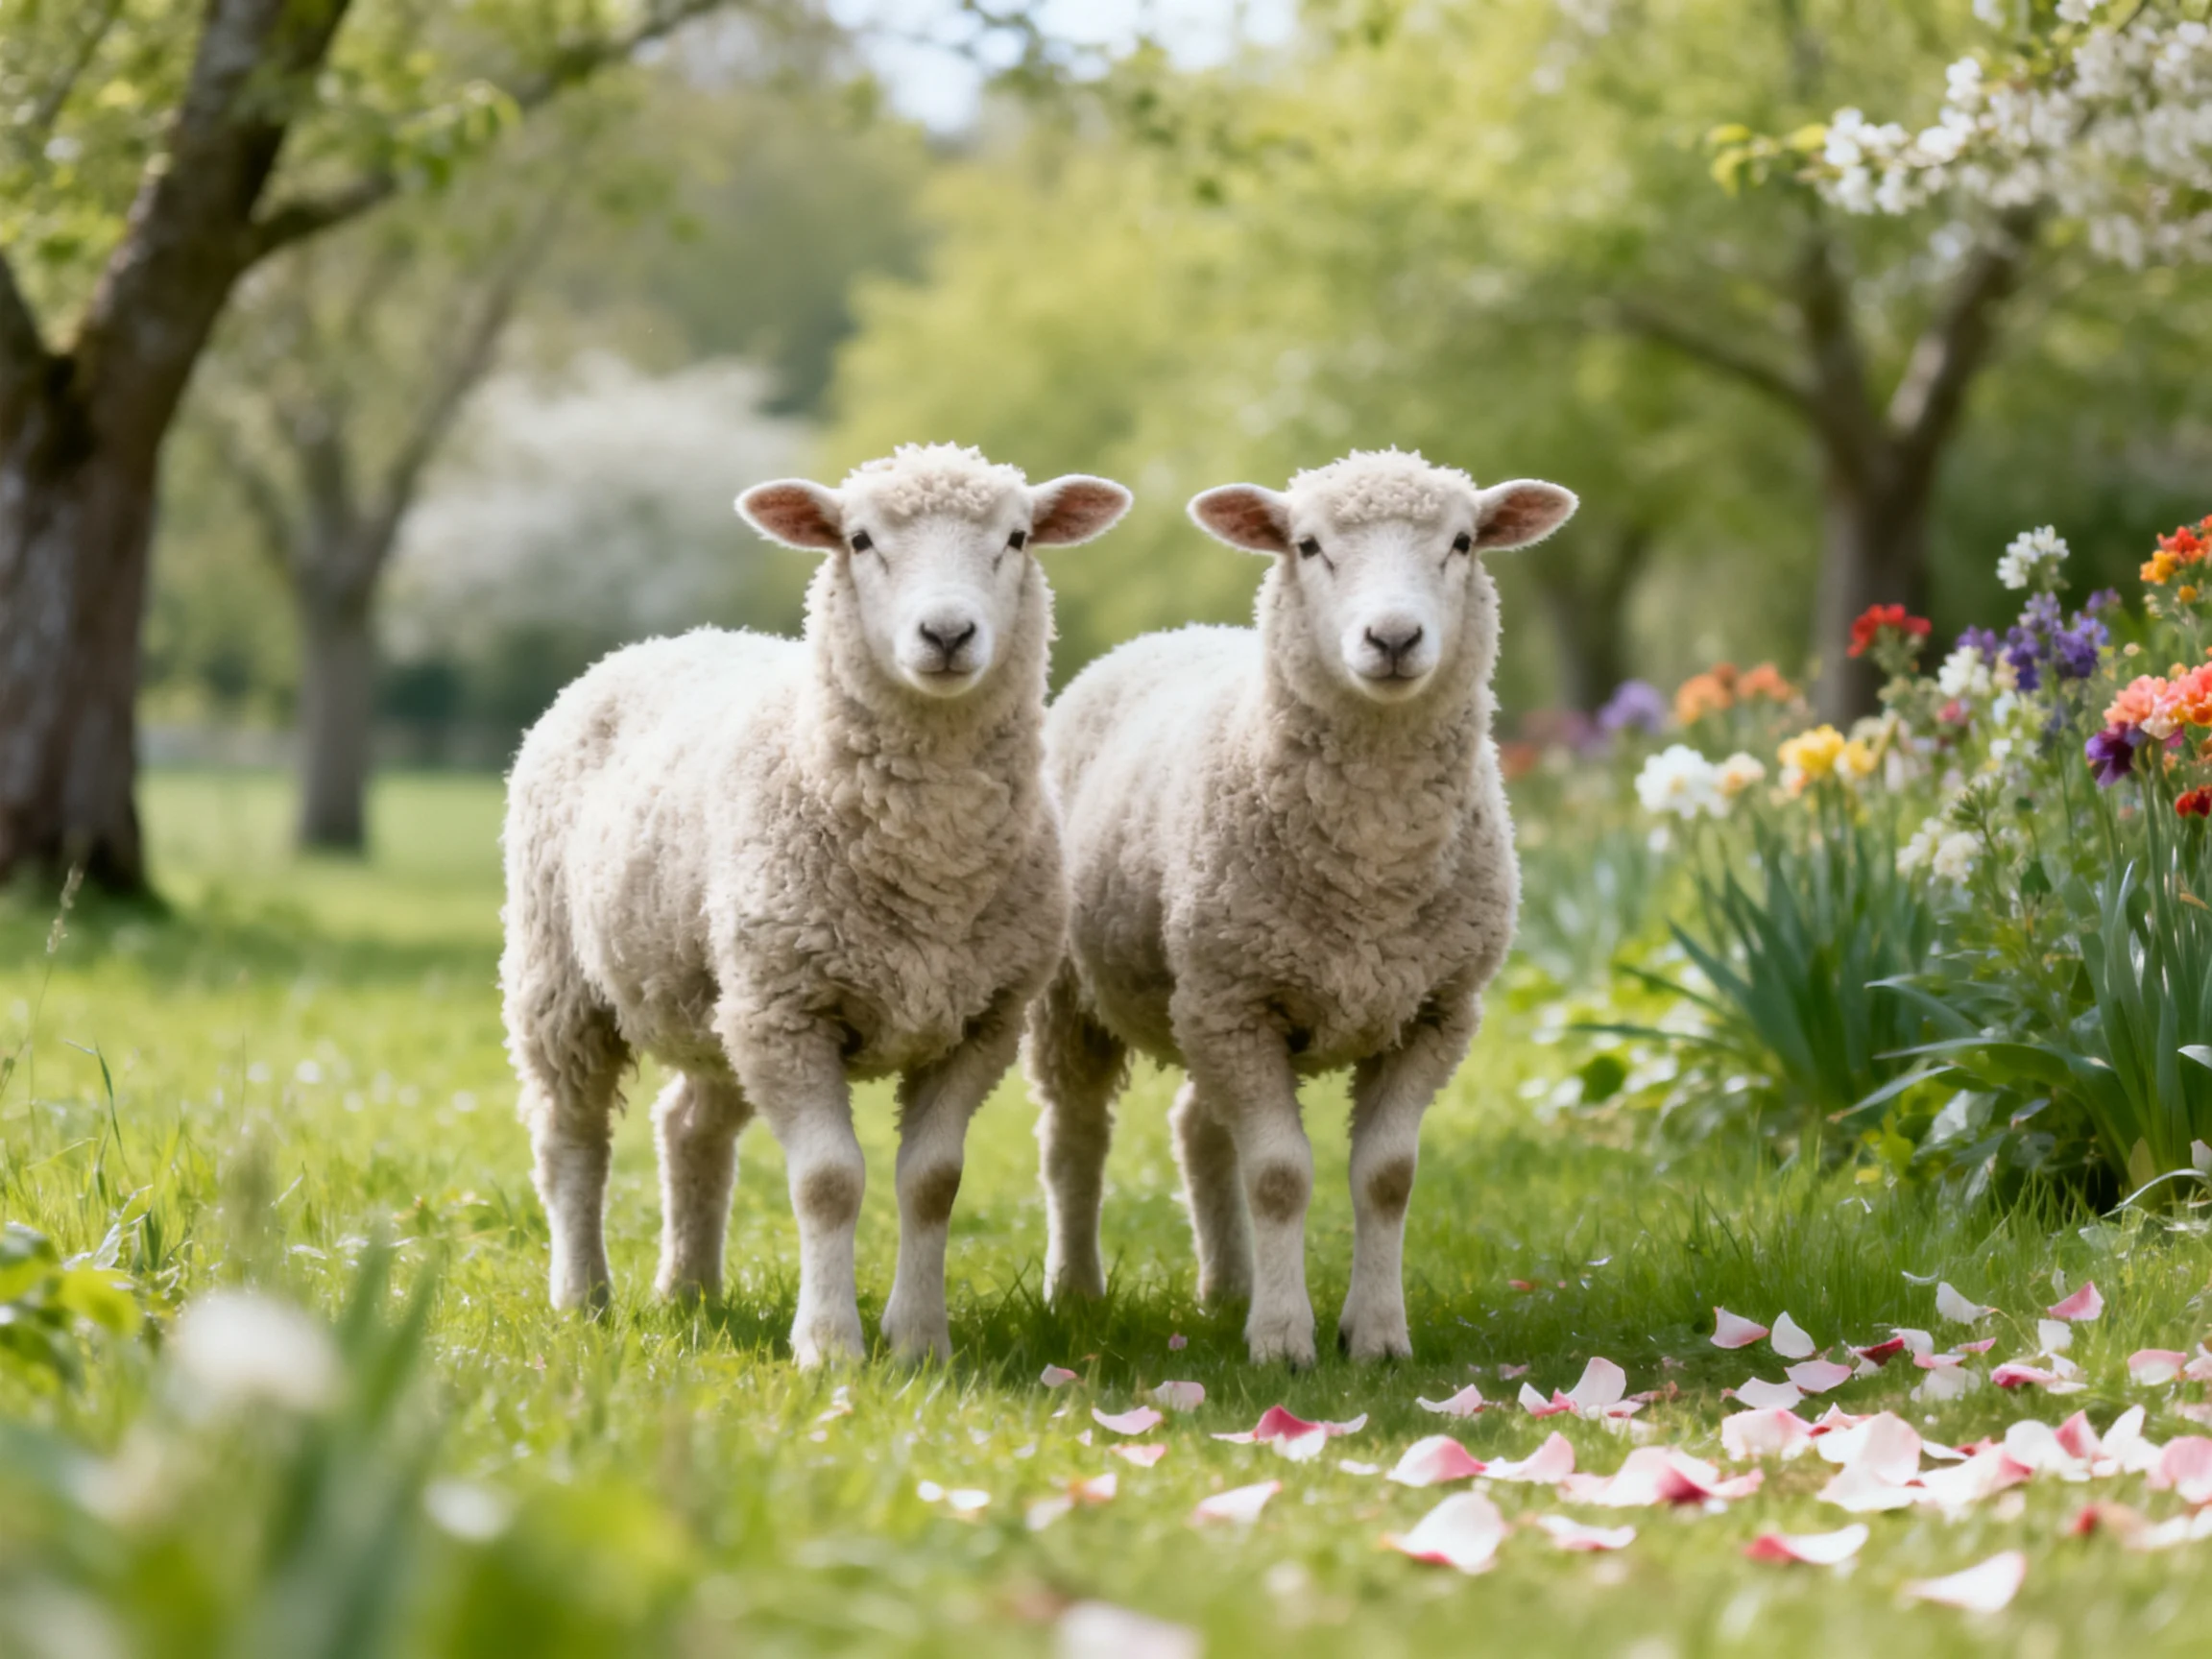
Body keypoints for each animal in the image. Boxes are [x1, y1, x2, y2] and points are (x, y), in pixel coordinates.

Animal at [502, 443, 1131, 1365]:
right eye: (859, 539)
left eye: (1017, 537)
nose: (948, 635)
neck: (928, 855)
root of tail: (671, 638)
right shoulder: (790, 1012)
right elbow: (829, 1182)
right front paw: (830, 1347)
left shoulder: (980, 1019)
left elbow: (933, 1182)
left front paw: (920, 1344)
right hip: (564, 979)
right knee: (571, 1138)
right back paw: (583, 1296)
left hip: (721, 999)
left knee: (687, 1126)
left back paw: (689, 1289)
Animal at [1024, 449, 1575, 1366]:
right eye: (1308, 545)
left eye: (1463, 542)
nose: (1393, 639)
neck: (1374, 864)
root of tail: (1171, 632)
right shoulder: (1240, 1004)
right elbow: (1279, 1176)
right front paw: (1284, 1341)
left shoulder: (1434, 1010)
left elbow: (1387, 1178)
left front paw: (1376, 1334)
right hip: (1087, 997)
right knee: (1076, 1138)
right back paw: (1075, 1291)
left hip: (1204, 998)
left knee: (1197, 1130)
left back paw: (1227, 1286)